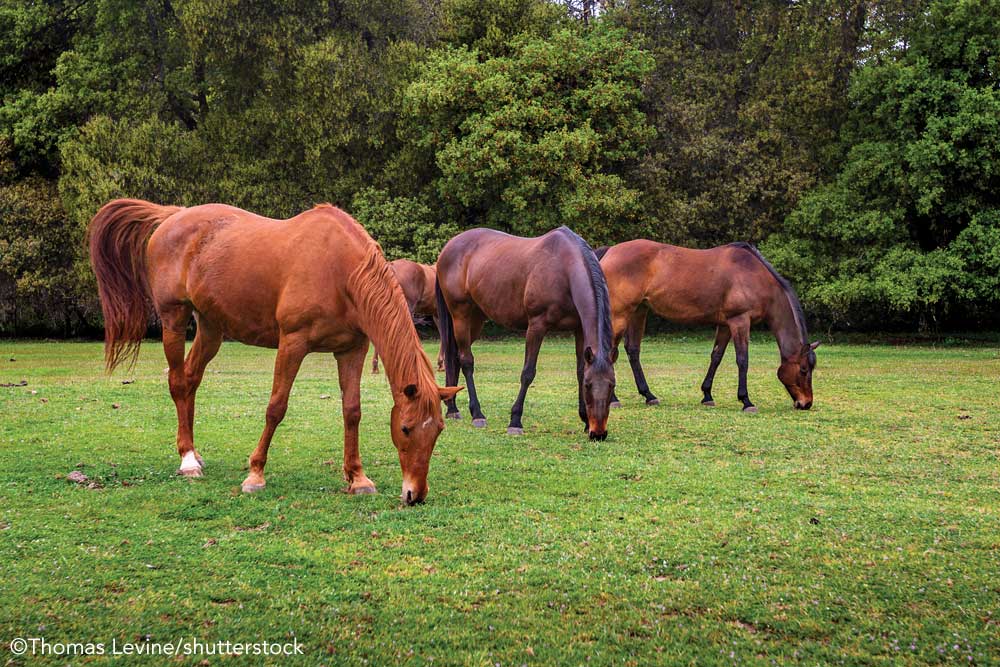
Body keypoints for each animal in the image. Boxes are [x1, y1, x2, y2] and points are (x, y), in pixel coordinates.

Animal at [88, 201, 462, 504]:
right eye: (406, 429)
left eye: (438, 431)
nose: (415, 495)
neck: (339, 270)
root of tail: (174, 215)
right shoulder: (292, 344)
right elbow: (275, 408)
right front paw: (255, 475)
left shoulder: (352, 349)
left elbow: (352, 411)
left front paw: (357, 478)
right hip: (173, 319)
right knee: (179, 382)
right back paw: (188, 460)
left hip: (210, 328)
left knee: (191, 380)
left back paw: (194, 451)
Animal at [438, 227, 616, 440]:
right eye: (589, 386)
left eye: (612, 385)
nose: (598, 433)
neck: (564, 269)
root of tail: (449, 247)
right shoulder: (536, 326)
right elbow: (528, 373)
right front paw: (515, 421)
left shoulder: (579, 330)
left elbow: (580, 370)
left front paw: (584, 420)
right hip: (460, 315)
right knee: (466, 361)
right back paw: (476, 414)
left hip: (476, 318)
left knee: (455, 358)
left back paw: (452, 408)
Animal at [592, 241, 820, 412]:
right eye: (803, 369)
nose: (806, 403)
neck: (754, 275)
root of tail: (610, 250)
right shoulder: (740, 321)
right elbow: (742, 360)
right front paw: (746, 401)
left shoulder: (726, 324)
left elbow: (716, 357)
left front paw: (707, 395)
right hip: (620, 314)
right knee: (610, 352)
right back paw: (613, 399)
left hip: (639, 310)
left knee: (633, 351)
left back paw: (649, 395)